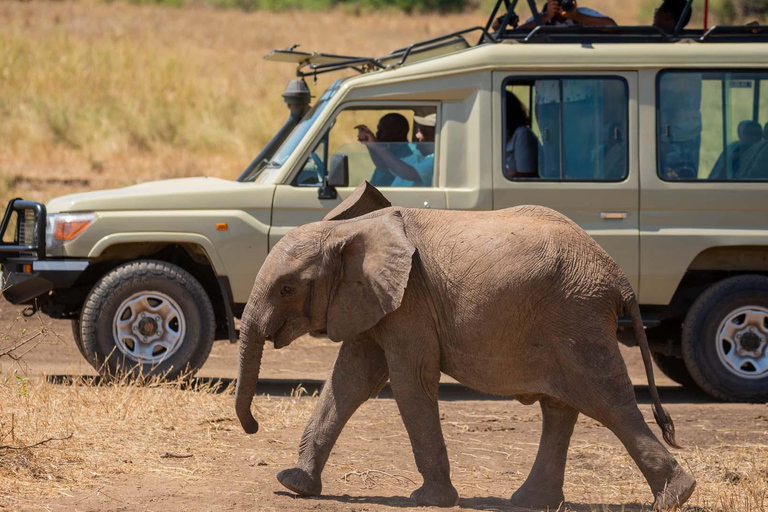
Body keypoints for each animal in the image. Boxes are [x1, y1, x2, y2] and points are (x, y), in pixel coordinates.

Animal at [237, 183, 700, 508]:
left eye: (286, 288)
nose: (254, 426)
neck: (348, 230)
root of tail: (619, 275)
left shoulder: (411, 302)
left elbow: (408, 383)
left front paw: (429, 501)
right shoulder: (375, 302)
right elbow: (347, 382)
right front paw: (293, 484)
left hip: (577, 316)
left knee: (608, 401)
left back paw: (676, 496)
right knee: (562, 407)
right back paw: (529, 503)